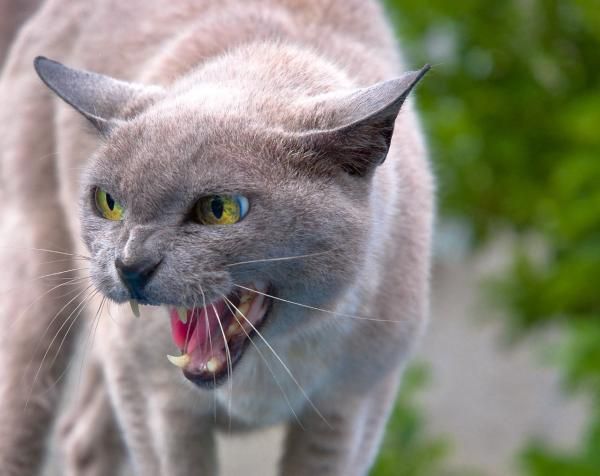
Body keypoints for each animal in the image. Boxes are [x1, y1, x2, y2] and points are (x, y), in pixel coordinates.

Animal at [0, 1, 434, 474]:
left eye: (220, 210)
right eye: (109, 203)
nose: (129, 266)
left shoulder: (350, 413)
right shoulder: (157, 403)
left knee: (82, 435)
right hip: (39, 298)